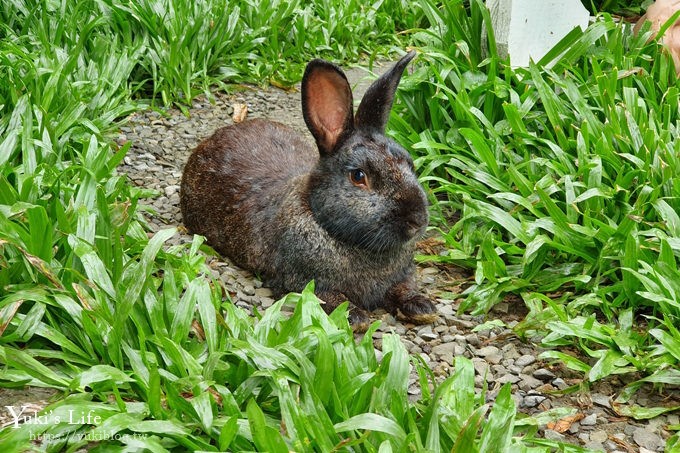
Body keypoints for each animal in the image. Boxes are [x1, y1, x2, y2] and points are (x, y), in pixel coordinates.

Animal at [181, 52, 436, 328]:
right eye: (358, 176)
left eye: (410, 163)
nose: (417, 221)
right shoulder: (301, 281)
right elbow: (329, 297)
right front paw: (355, 316)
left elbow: (403, 287)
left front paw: (422, 307)